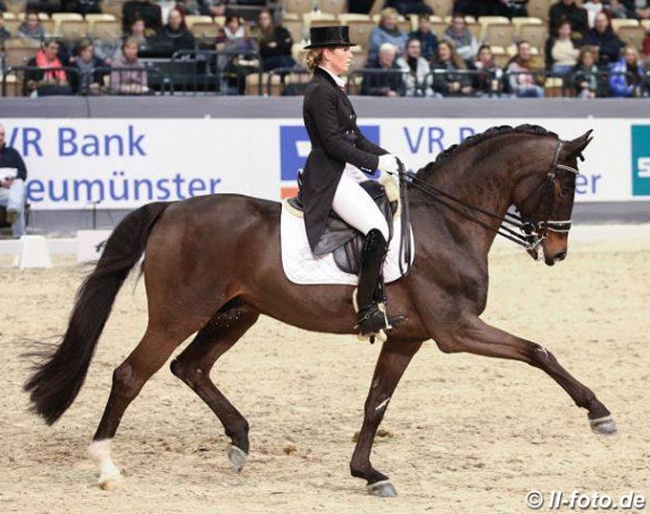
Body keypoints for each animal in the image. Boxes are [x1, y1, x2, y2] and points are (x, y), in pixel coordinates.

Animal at [24, 122, 612, 494]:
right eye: (564, 184)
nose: (557, 252)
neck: (447, 222)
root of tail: (172, 209)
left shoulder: (407, 337)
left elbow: (376, 405)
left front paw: (368, 473)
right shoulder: (455, 329)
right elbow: (537, 350)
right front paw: (598, 412)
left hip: (236, 313)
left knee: (190, 367)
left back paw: (239, 441)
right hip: (179, 314)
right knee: (131, 374)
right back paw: (106, 467)